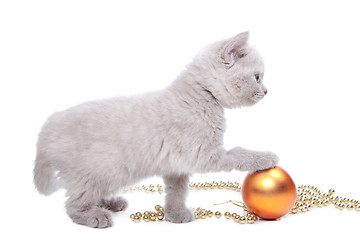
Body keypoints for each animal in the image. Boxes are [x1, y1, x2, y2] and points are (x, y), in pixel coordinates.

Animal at [33, 32, 278, 229]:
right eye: (257, 77)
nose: (266, 91)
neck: (201, 95)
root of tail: (47, 127)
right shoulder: (204, 155)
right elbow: (239, 153)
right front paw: (266, 157)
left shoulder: (176, 166)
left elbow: (177, 191)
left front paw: (175, 214)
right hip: (96, 170)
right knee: (75, 203)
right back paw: (95, 216)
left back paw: (111, 203)